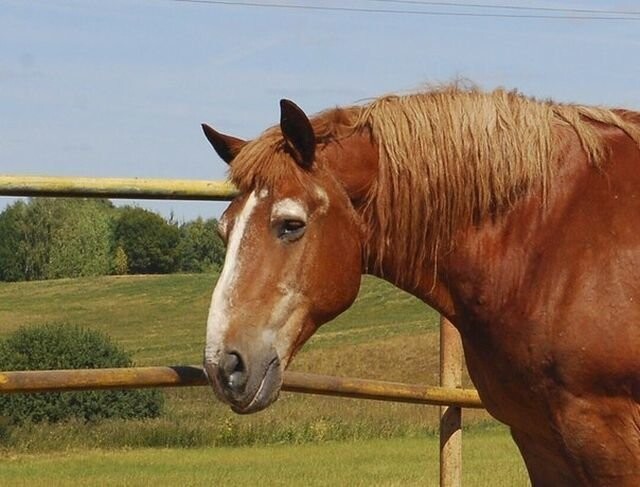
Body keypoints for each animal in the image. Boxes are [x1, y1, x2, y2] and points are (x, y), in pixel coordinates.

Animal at [200, 86, 640, 486]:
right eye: (224, 229)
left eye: (291, 224)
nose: (224, 366)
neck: (554, 235)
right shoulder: (537, 440)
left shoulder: (606, 438)